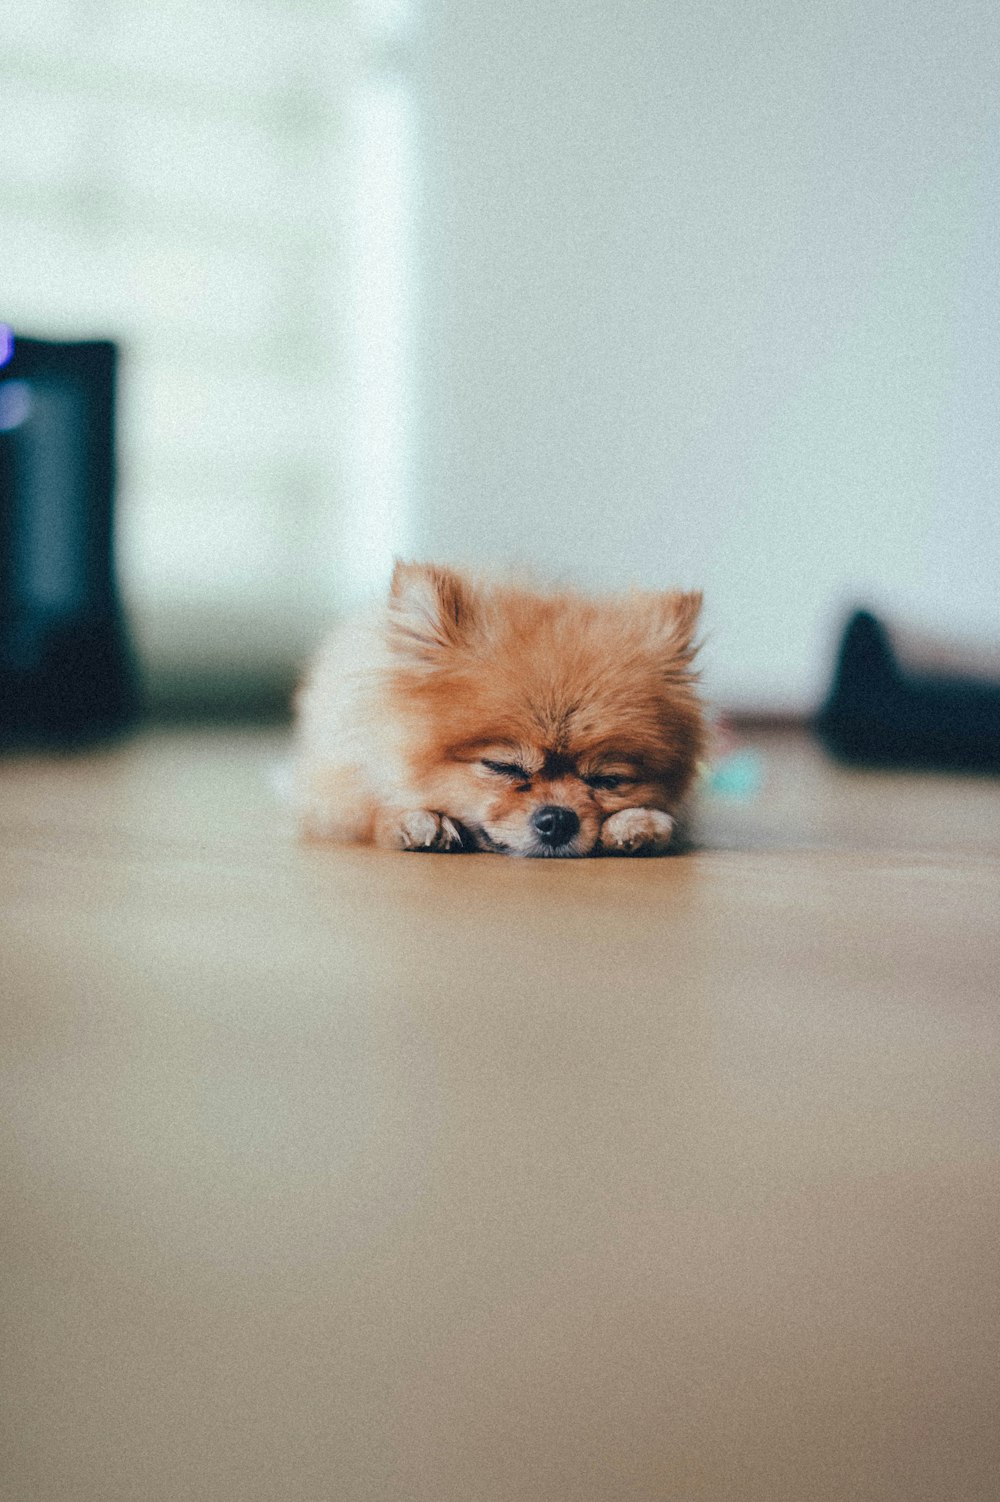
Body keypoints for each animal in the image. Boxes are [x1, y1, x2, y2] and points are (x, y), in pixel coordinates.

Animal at [292, 564, 705, 859]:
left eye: (608, 780)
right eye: (502, 766)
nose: (558, 819)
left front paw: (637, 822)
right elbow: (371, 808)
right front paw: (416, 819)